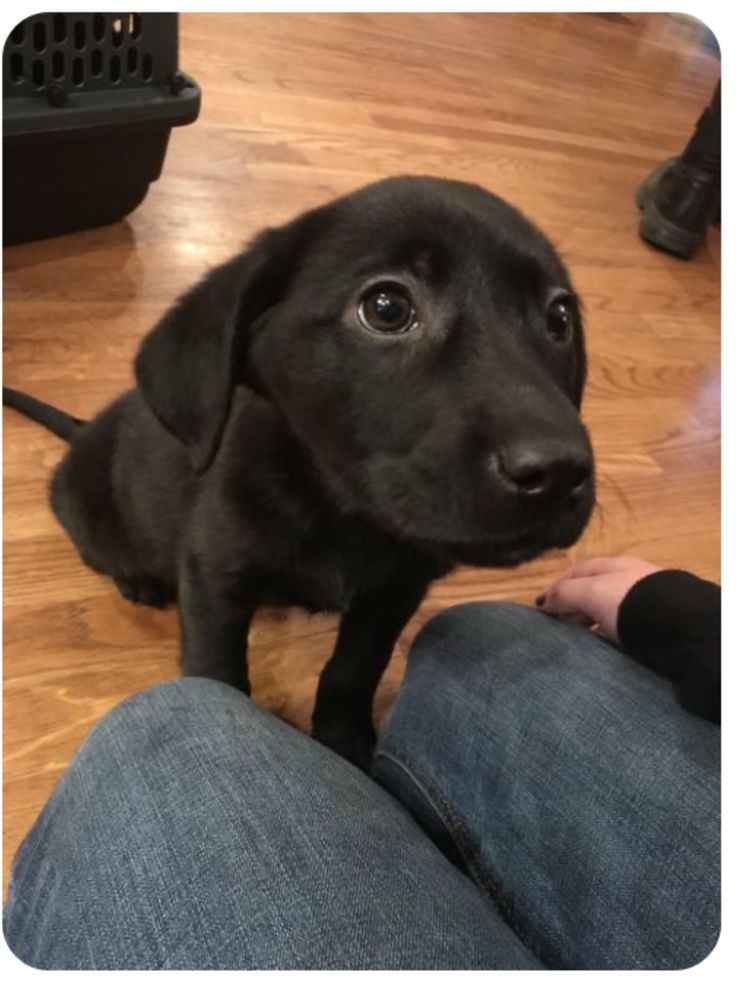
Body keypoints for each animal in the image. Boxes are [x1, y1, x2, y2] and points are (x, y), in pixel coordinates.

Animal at [4, 178, 592, 772]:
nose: (560, 471)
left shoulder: (392, 595)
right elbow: (217, 670)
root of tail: (81, 431)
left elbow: (351, 670)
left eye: (560, 318)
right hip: (94, 520)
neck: (338, 509)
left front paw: (346, 743)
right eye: (386, 308)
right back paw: (138, 579)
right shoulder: (212, 576)